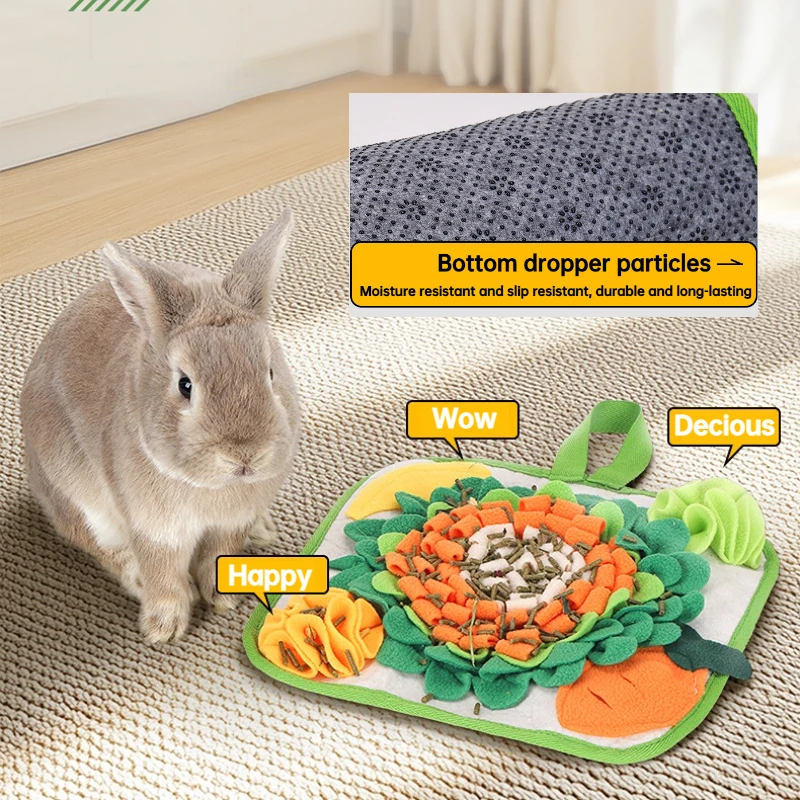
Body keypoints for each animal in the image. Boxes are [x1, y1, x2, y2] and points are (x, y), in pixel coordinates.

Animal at [20, 210, 300, 644]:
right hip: (78, 499)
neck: (213, 488)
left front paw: (223, 599)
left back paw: (262, 532)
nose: (245, 455)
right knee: (104, 549)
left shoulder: (230, 525)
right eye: (185, 385)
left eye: (271, 373)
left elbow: (218, 555)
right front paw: (164, 628)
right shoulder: (154, 529)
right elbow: (161, 571)